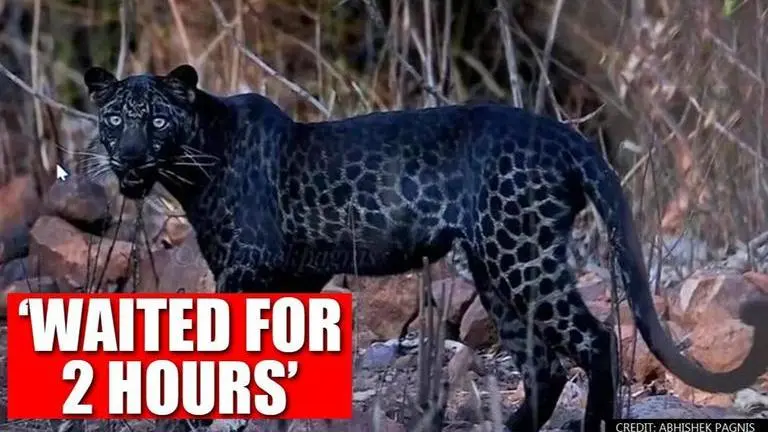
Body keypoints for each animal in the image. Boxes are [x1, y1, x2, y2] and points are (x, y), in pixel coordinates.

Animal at [82, 64, 768, 431]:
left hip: (522, 257)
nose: (130, 157)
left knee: (594, 340)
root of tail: (566, 135)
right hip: (496, 270)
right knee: (543, 365)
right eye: (115, 120)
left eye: (157, 120)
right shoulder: (290, 276)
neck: (194, 165)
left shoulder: (244, 267)